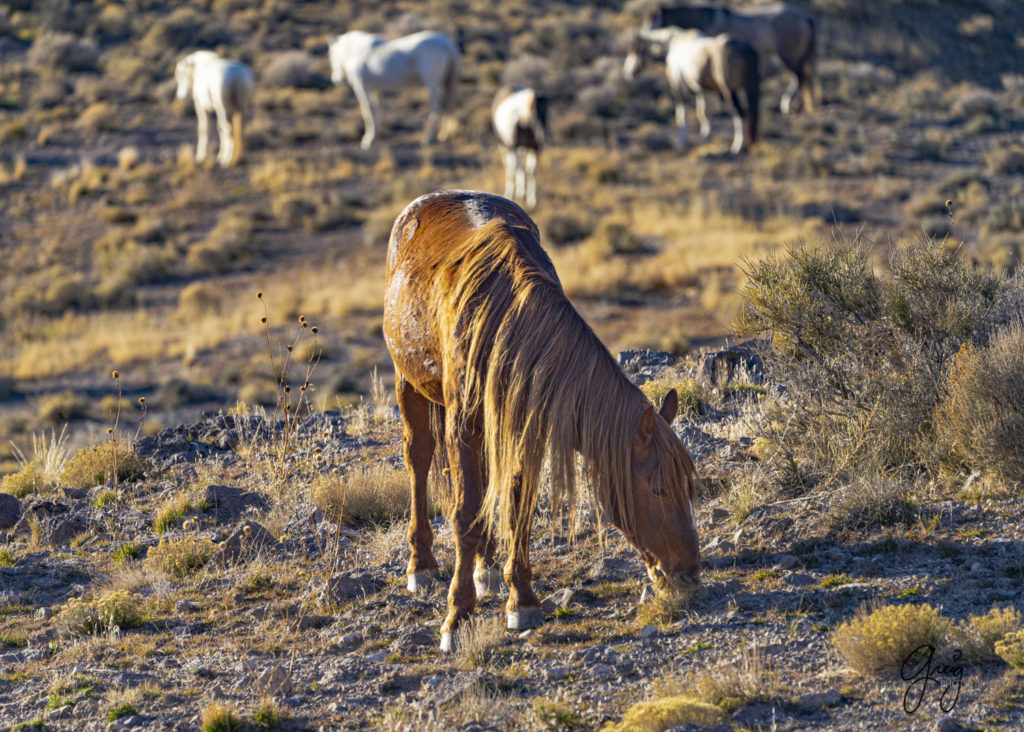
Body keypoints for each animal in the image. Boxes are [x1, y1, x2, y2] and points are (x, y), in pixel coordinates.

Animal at [327, 30, 460, 149]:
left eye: (332, 56)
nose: (335, 80)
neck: (356, 51)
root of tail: (447, 43)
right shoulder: (375, 90)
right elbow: (377, 109)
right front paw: (377, 134)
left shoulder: (362, 88)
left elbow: (368, 111)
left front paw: (368, 140)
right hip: (446, 83)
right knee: (448, 107)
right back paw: (443, 135)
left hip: (432, 85)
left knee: (436, 109)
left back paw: (428, 139)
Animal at [385, 190, 704, 651]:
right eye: (659, 489)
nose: (690, 574)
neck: (505, 319)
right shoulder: (462, 426)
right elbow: (464, 514)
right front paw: (457, 618)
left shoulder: (525, 426)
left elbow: (517, 505)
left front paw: (521, 600)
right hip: (408, 382)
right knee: (419, 461)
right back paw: (421, 565)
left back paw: (486, 567)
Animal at [622, 27, 761, 153]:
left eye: (635, 51)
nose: (628, 72)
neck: (673, 42)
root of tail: (745, 49)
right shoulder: (701, 89)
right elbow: (703, 111)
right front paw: (706, 134)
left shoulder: (678, 85)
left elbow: (681, 113)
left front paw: (680, 142)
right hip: (745, 90)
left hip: (729, 91)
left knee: (739, 113)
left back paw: (737, 146)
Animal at [651, 3, 819, 114]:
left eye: (653, 22)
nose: (654, 50)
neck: (706, 19)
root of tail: (806, 17)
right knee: (802, 78)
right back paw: (796, 105)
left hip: (787, 55)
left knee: (800, 77)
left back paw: (790, 105)